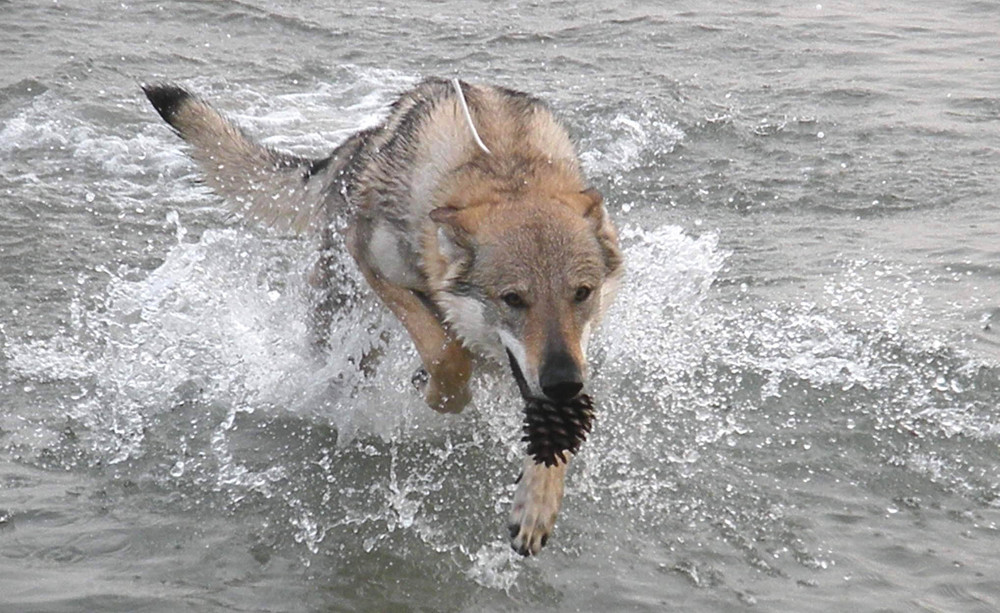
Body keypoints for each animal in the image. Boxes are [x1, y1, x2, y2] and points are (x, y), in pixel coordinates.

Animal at [141, 77, 624, 556]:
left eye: (581, 294)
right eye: (513, 299)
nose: (563, 382)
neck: (505, 167)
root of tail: (350, 151)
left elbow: (556, 436)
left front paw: (538, 506)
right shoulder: (375, 265)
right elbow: (444, 356)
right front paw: (438, 395)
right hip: (348, 319)